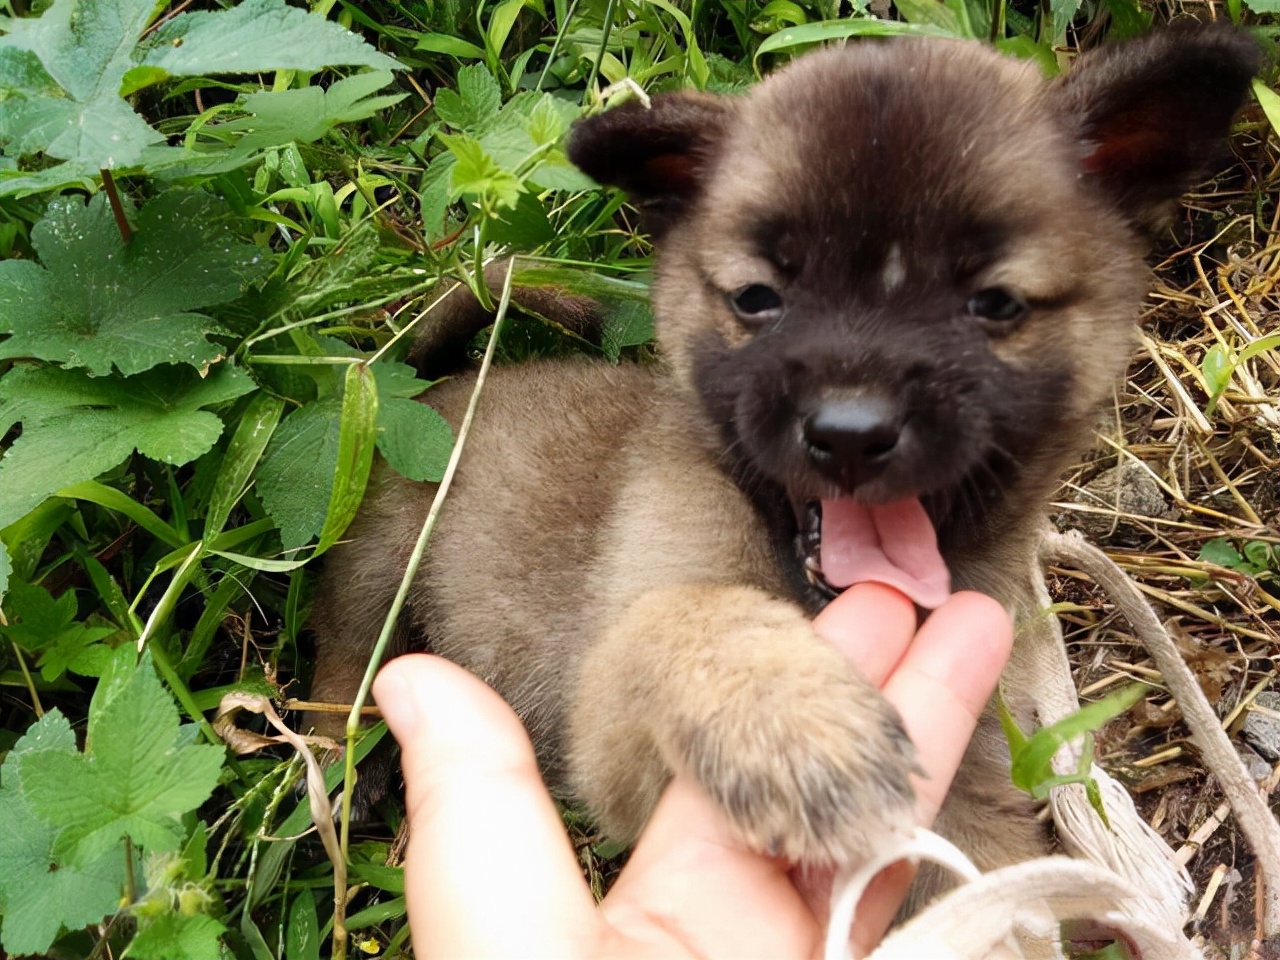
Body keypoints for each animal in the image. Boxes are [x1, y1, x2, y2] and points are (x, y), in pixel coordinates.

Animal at [307, 28, 1249, 870]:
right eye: (757, 297)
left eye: (996, 304)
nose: (850, 432)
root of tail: (435, 387)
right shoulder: (610, 723)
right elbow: (688, 619)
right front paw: (793, 723)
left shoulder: (973, 780)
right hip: (381, 562)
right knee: (343, 650)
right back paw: (338, 758)